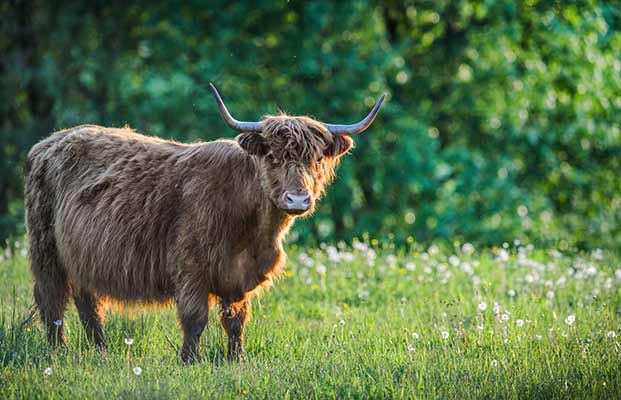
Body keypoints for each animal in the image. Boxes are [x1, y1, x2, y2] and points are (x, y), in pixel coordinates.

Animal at [24, 84, 382, 362]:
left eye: (316, 159)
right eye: (272, 157)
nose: (297, 200)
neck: (254, 231)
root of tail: (47, 143)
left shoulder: (238, 276)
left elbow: (236, 321)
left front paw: (236, 359)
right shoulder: (190, 267)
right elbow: (195, 318)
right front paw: (189, 360)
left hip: (82, 256)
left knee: (88, 303)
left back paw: (100, 350)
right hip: (45, 250)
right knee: (52, 300)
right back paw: (58, 352)